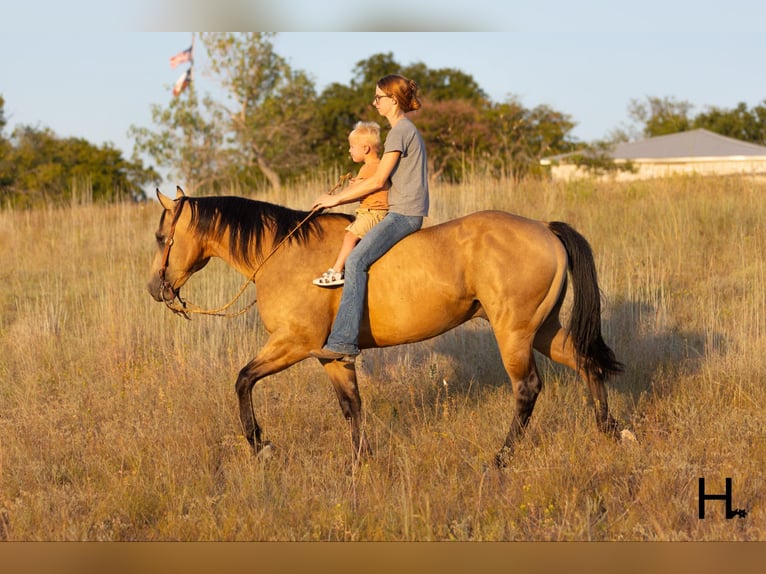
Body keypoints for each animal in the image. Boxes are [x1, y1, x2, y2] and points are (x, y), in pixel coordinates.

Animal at [147, 187, 628, 466]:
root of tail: (544, 228)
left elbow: (243, 380)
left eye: (160, 237)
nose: (155, 288)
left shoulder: (293, 344)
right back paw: (612, 431)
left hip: (514, 333)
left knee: (527, 389)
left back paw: (501, 457)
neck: (286, 254)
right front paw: (362, 461)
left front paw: (260, 445)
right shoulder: (331, 357)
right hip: (542, 329)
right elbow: (351, 406)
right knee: (586, 362)